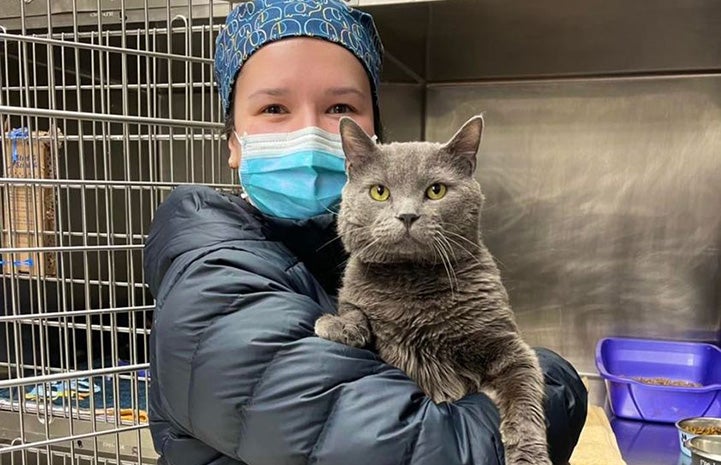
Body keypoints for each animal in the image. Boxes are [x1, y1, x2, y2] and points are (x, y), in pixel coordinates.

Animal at [316, 115, 552, 464]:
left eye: (436, 190)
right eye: (379, 192)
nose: (407, 215)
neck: (414, 283)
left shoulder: (508, 347)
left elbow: (524, 398)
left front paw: (529, 457)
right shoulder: (357, 291)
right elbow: (353, 307)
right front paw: (341, 325)